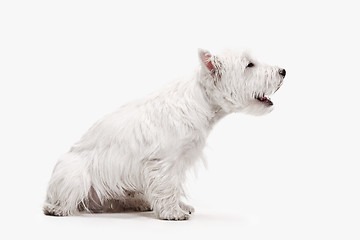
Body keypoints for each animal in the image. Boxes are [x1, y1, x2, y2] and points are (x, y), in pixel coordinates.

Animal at [43, 48, 286, 219]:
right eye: (249, 64)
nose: (283, 71)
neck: (201, 101)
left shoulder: (181, 160)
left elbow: (175, 185)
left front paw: (180, 206)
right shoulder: (165, 160)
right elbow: (168, 185)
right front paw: (173, 213)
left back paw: (140, 202)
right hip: (75, 172)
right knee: (67, 197)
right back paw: (56, 209)